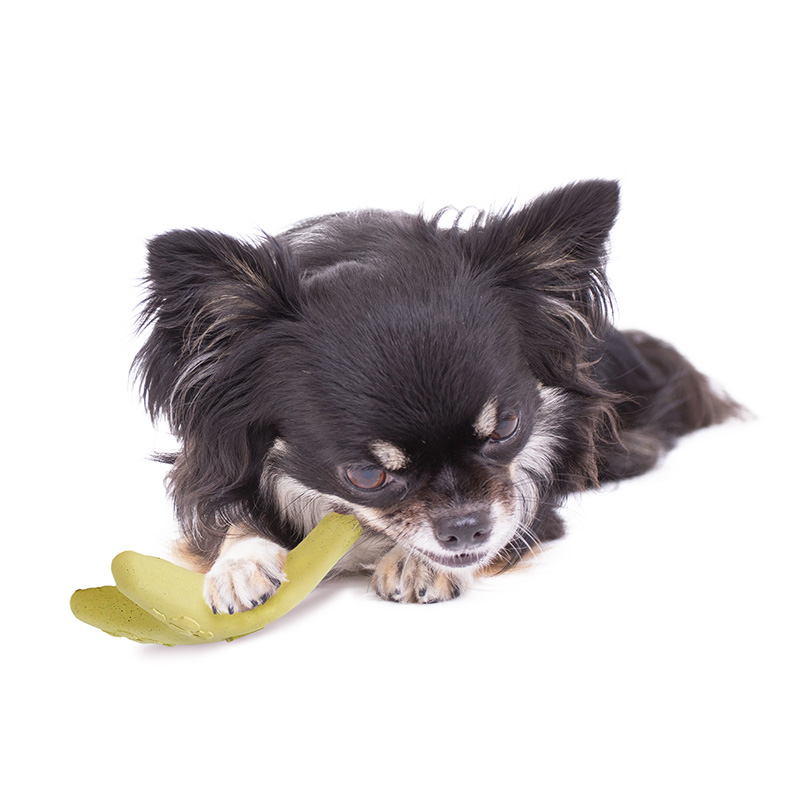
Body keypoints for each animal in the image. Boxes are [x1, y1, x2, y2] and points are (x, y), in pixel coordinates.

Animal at [135, 180, 739, 613]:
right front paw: (239, 563)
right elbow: (231, 517)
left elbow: (511, 515)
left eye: (506, 428)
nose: (465, 527)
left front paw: (420, 564)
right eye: (366, 475)